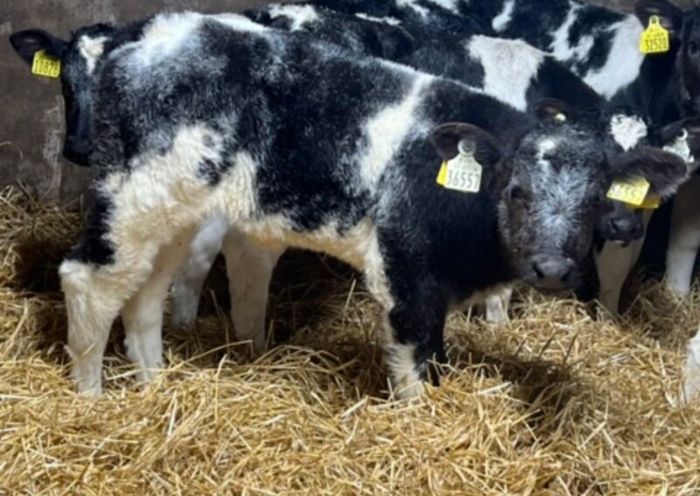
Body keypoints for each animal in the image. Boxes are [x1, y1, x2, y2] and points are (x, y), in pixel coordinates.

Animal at [9, 12, 688, 398]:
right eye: (516, 191)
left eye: (595, 198)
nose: (550, 268)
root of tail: (148, 38)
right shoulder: (407, 275)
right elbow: (418, 369)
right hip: (134, 197)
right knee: (91, 278)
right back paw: (92, 396)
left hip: (175, 208)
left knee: (146, 289)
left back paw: (154, 387)